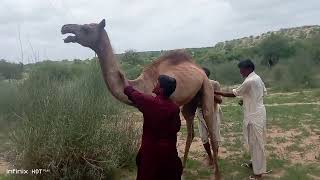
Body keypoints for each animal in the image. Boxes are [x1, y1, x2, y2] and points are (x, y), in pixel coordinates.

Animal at [60, 19, 220, 176]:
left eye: (86, 28)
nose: (65, 28)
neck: (144, 86)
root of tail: (198, 68)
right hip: (191, 100)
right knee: (190, 129)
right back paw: (184, 169)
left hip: (207, 87)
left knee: (211, 130)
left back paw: (216, 173)